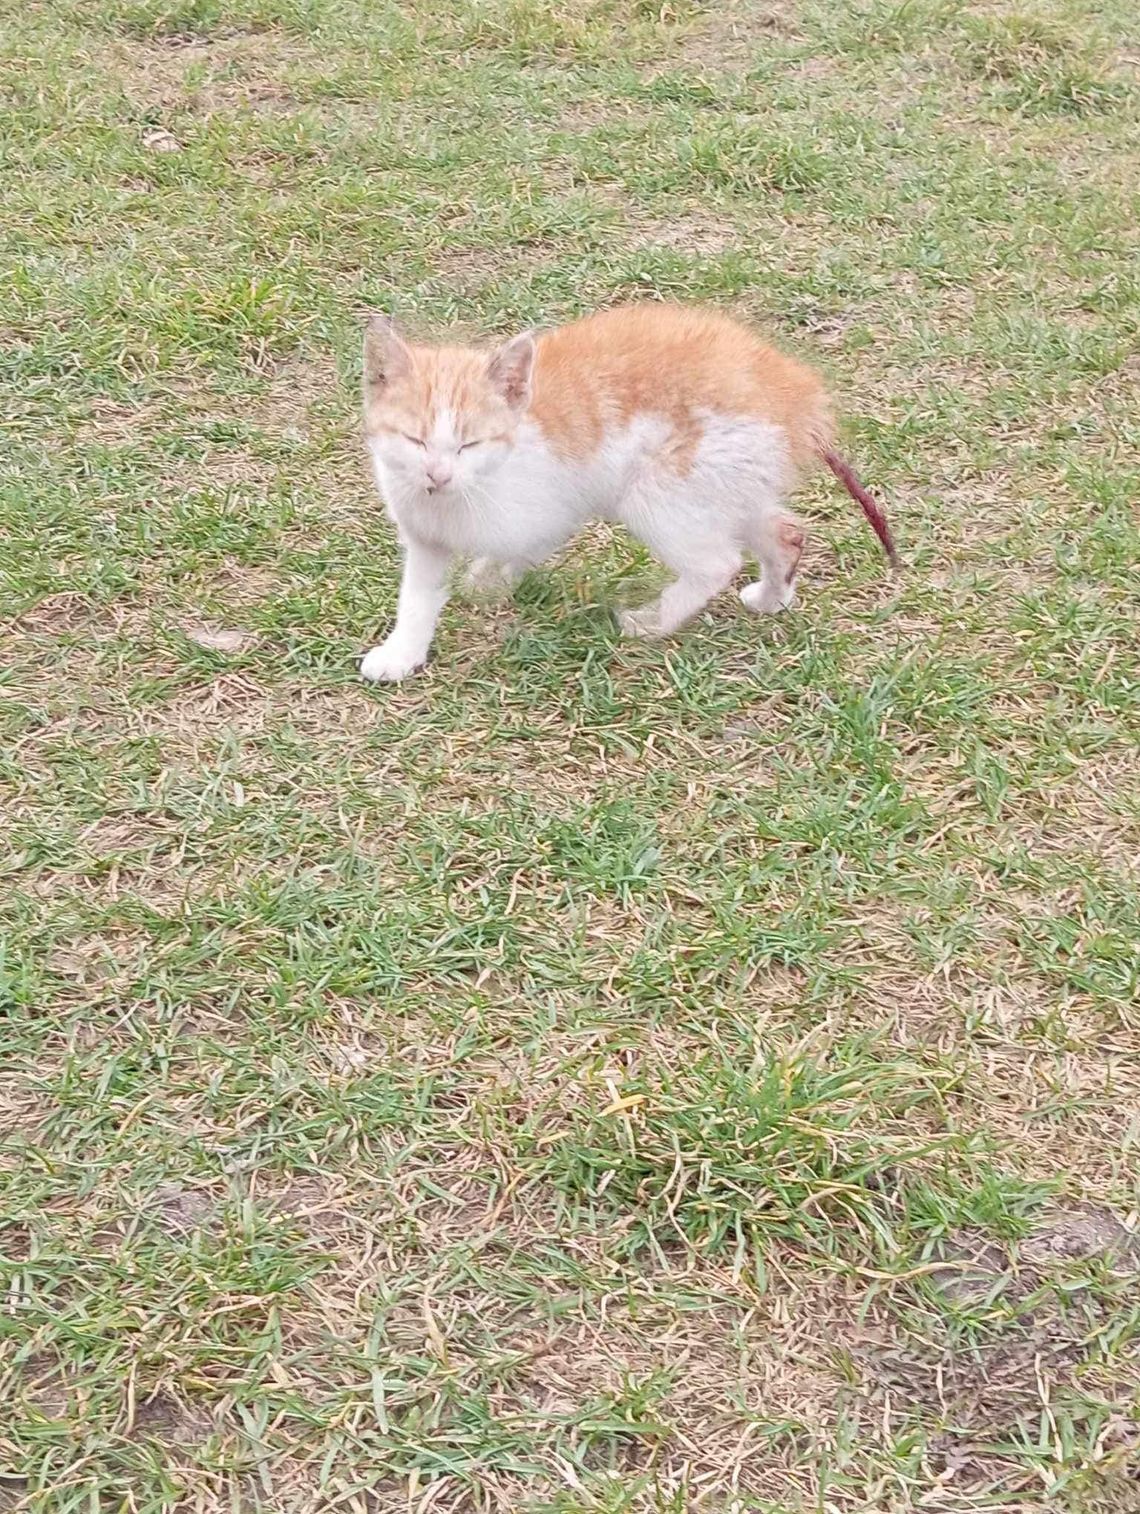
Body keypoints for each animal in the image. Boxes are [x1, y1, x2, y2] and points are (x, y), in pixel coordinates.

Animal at [360, 301, 896, 681]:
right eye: (414, 440)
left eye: (469, 444)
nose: (437, 475)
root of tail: (795, 397)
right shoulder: (424, 537)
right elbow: (418, 596)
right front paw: (402, 653)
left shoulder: (554, 504)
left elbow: (524, 546)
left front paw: (492, 580)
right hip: (728, 482)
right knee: (784, 531)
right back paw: (771, 596)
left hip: (661, 489)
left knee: (717, 562)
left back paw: (654, 621)